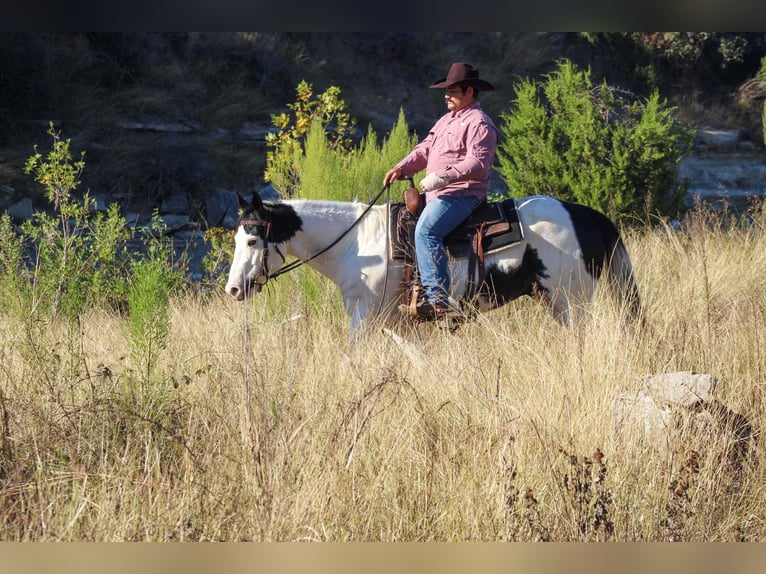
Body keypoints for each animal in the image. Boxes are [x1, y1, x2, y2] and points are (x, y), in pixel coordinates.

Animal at [224, 191, 641, 339]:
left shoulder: (364, 314)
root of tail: (585, 214)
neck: (355, 244)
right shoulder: (395, 322)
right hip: (553, 300)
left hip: (573, 301)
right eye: (236, 240)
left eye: (252, 240)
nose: (233, 289)